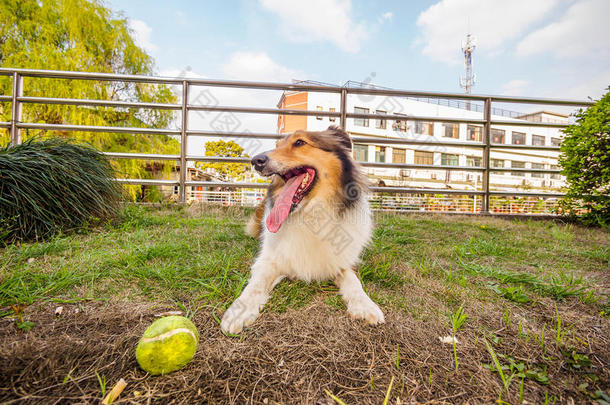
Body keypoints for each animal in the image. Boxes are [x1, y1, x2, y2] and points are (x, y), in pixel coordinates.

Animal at [220, 125, 384, 332]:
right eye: (277, 145)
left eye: (299, 142)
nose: (256, 161)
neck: (310, 216)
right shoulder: (269, 260)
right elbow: (255, 285)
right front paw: (239, 311)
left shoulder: (343, 260)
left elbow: (353, 281)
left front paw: (365, 305)